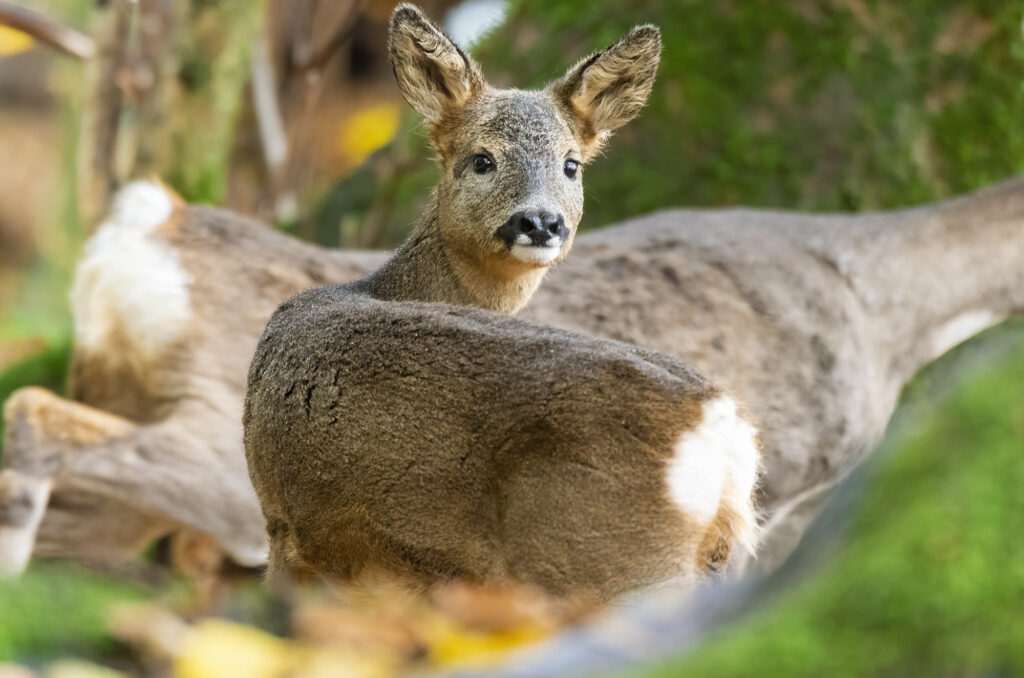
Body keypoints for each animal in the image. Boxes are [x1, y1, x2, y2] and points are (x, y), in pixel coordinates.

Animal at [241, 3, 761, 602]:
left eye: (571, 165)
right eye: (481, 160)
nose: (541, 221)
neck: (379, 284)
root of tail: (727, 441)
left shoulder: (289, 528)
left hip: (603, 559)